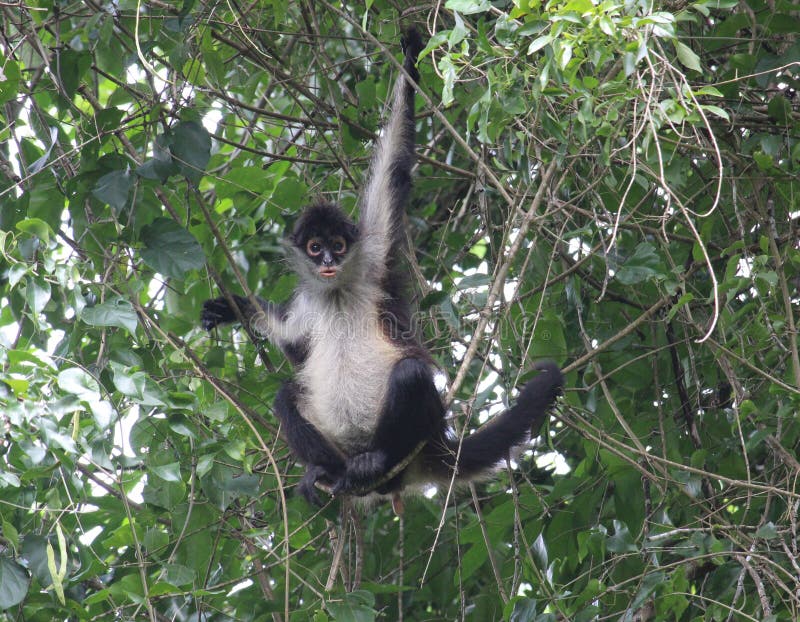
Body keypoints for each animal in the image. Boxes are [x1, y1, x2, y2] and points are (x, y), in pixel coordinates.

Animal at [200, 28, 564, 508]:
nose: (329, 262)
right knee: (286, 394)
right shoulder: (310, 304)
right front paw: (232, 308)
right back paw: (330, 471)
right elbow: (291, 341)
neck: (337, 293)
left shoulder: (374, 259)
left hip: (417, 431)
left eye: (337, 246)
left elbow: (393, 168)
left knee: (409, 374)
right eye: (314, 248)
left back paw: (376, 463)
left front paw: (410, 62)